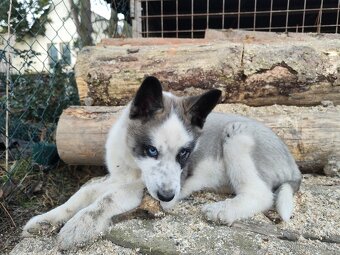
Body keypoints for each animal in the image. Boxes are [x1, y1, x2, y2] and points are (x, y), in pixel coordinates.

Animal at [22, 75, 302, 249]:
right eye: (151, 150)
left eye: (184, 153)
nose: (168, 198)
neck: (133, 164)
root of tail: (294, 166)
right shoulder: (119, 178)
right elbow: (83, 194)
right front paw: (47, 219)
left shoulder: (138, 188)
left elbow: (104, 201)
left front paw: (79, 226)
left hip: (238, 135)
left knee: (261, 194)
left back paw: (223, 210)